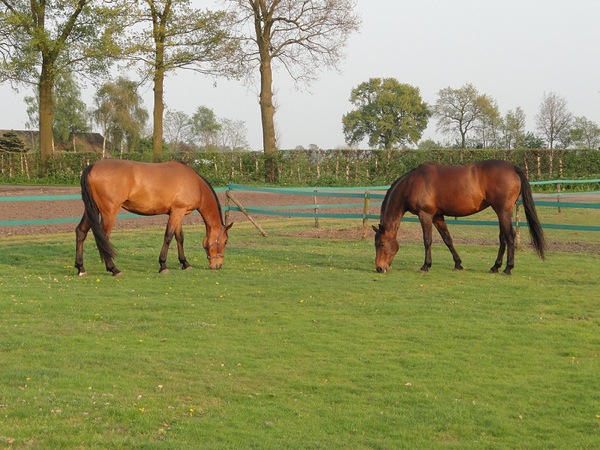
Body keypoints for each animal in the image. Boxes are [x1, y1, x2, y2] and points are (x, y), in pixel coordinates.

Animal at [74, 160, 232, 276]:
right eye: (224, 242)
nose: (218, 265)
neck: (196, 184)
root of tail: (91, 167)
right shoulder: (177, 212)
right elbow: (168, 237)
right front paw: (163, 265)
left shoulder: (178, 213)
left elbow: (179, 238)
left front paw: (185, 263)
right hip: (108, 212)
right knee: (104, 238)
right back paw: (113, 269)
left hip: (91, 210)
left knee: (81, 232)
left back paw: (81, 268)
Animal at [376, 160, 548, 276]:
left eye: (382, 244)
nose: (379, 268)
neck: (412, 183)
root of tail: (513, 167)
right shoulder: (437, 216)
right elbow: (447, 240)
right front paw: (458, 264)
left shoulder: (425, 215)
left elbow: (427, 240)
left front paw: (425, 266)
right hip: (501, 212)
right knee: (503, 238)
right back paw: (495, 267)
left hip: (503, 211)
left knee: (510, 236)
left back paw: (507, 268)